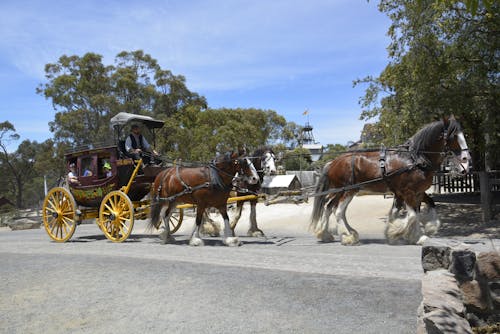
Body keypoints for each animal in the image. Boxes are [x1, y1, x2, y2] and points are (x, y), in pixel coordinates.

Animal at [310, 118, 470, 245]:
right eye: (454, 136)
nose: (466, 160)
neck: (415, 159)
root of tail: (333, 162)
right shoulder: (408, 192)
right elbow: (412, 215)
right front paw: (396, 232)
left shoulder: (415, 193)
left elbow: (423, 208)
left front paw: (417, 235)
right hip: (347, 191)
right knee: (337, 211)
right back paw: (348, 236)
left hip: (343, 191)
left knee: (330, 208)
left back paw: (327, 234)